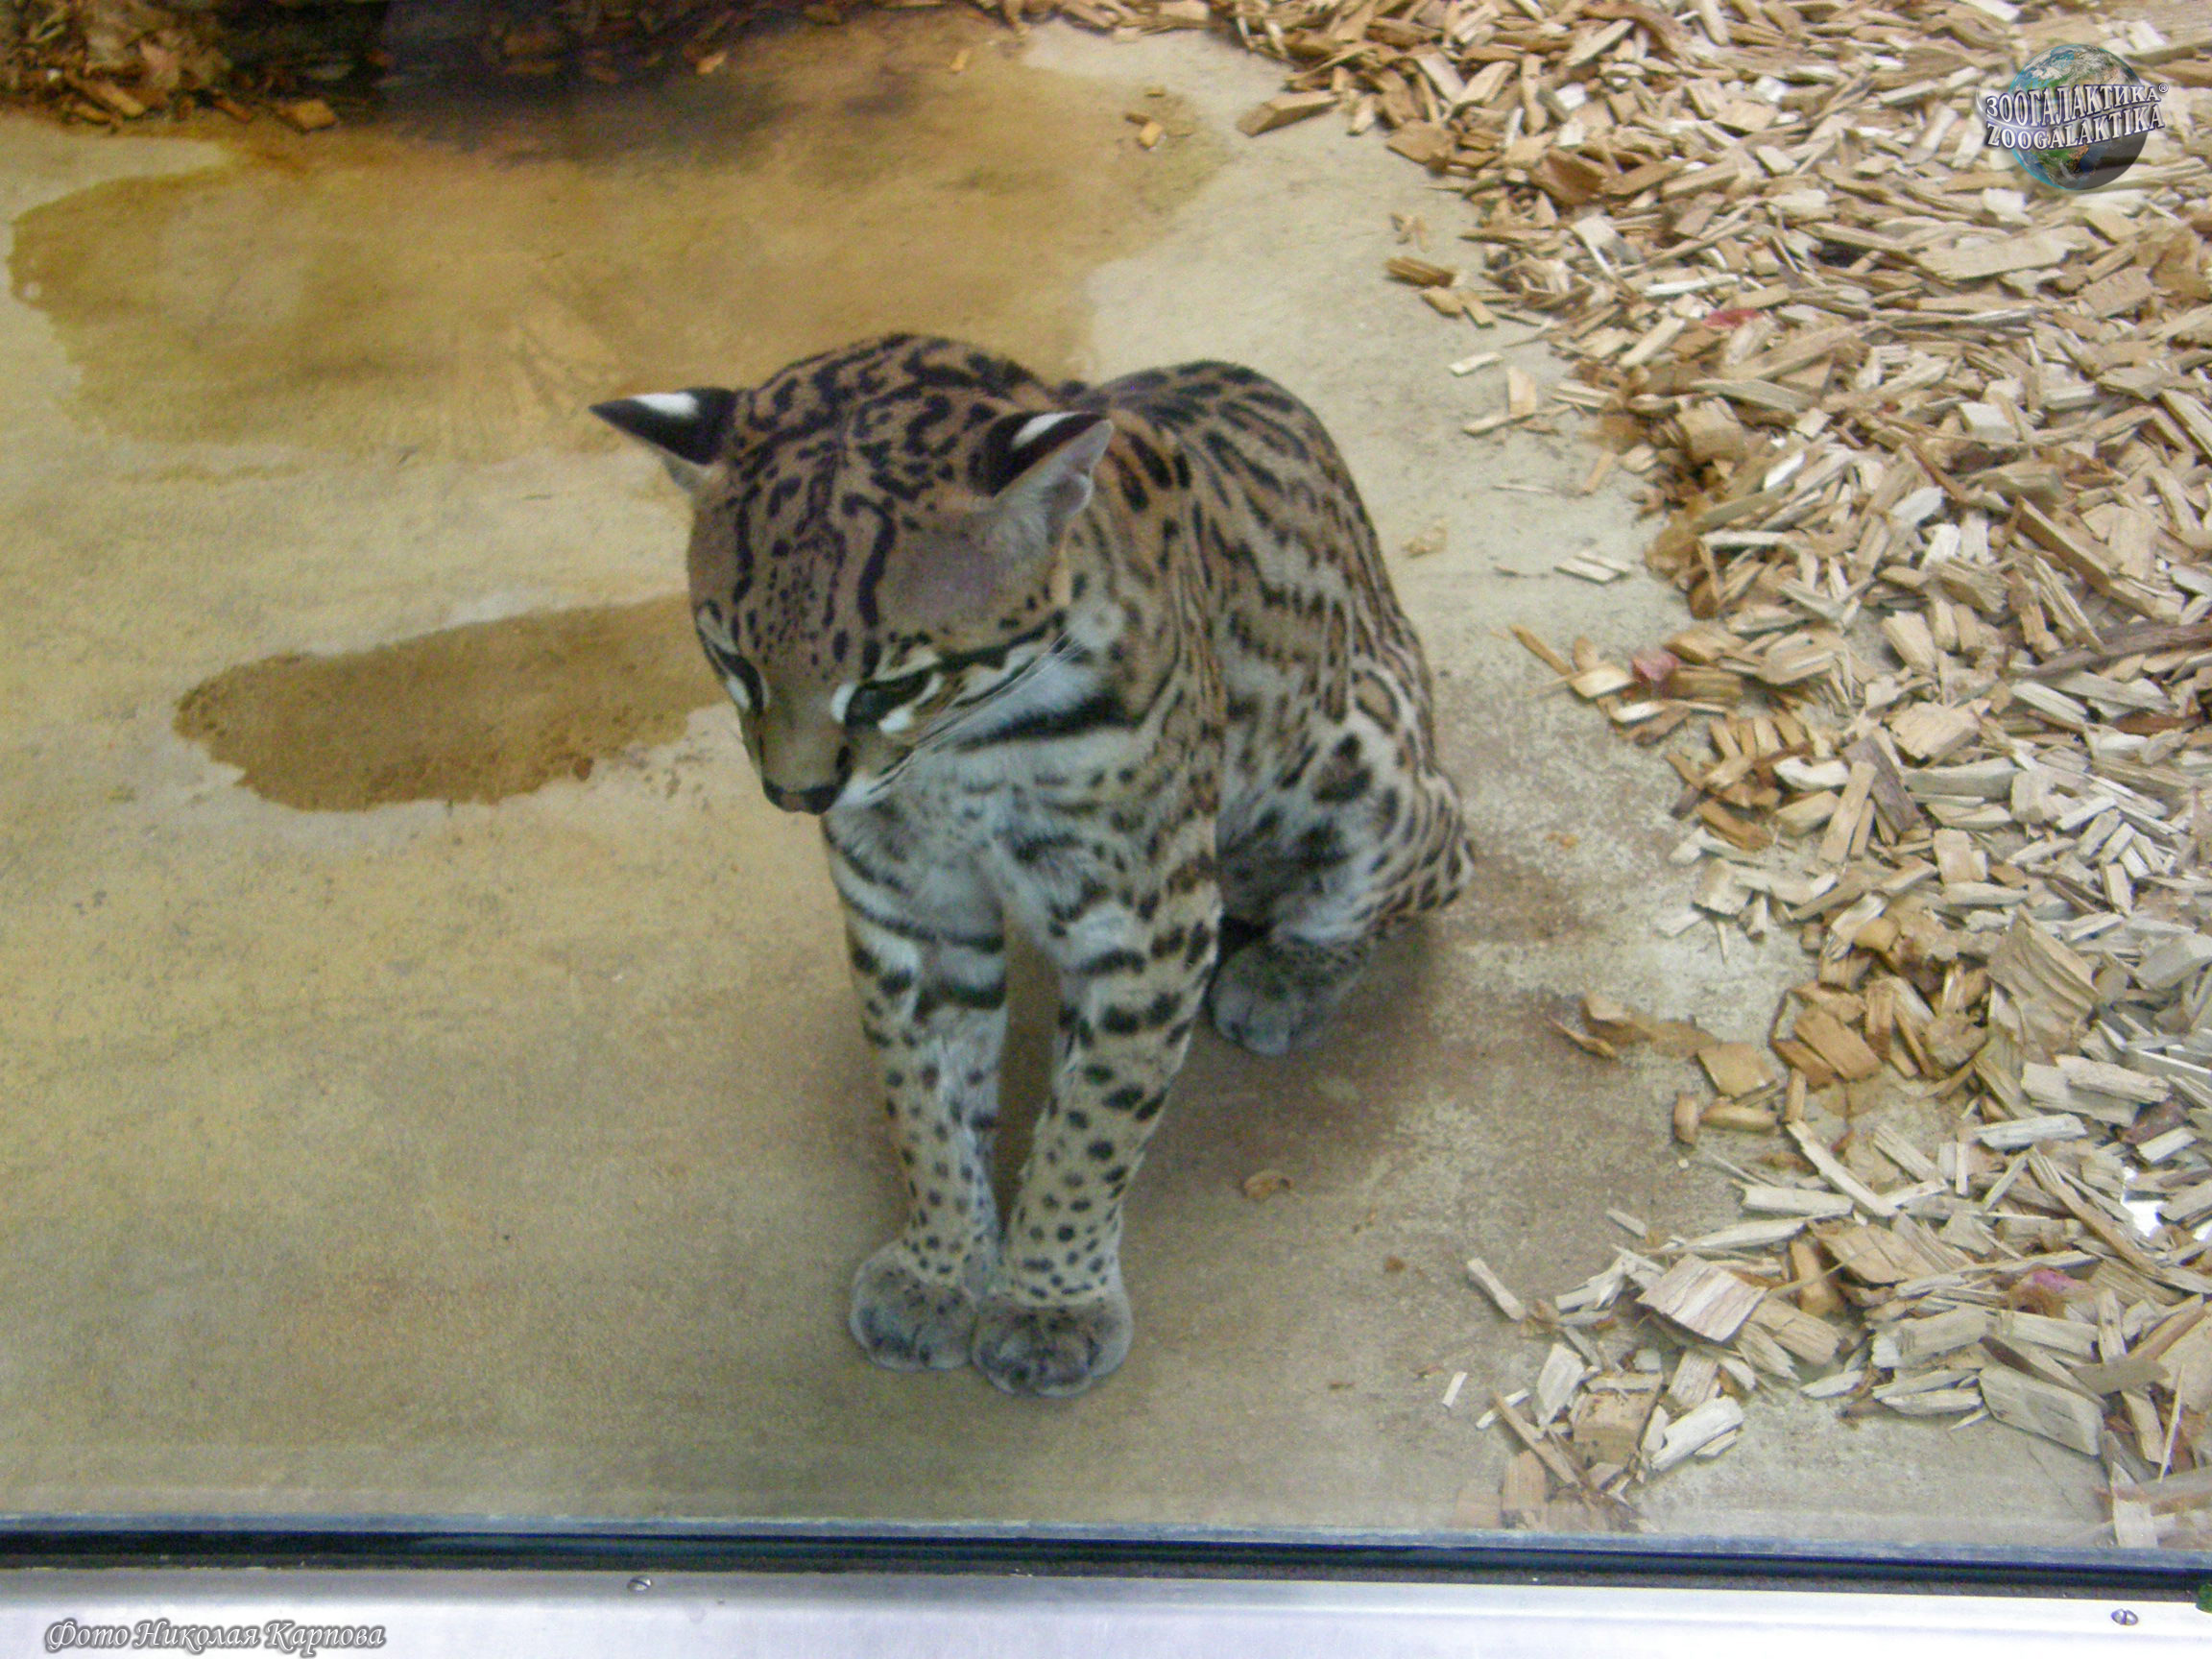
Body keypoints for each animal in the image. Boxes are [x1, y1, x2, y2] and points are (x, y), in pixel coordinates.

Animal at [593, 333, 1471, 1398]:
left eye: (888, 686)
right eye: (732, 662)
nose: (795, 796)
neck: (967, 745)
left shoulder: (1146, 921)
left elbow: (1091, 1126)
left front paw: (1051, 1301)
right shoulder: (907, 907)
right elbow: (923, 1107)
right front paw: (940, 1268)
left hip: (1359, 759)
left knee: (1432, 856)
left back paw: (1288, 971)